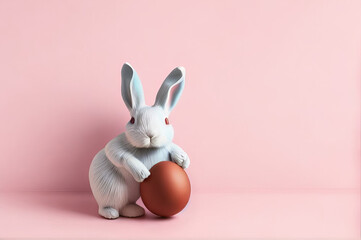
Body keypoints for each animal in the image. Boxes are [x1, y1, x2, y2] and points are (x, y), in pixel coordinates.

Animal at [88, 62, 190, 218]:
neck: (149, 149)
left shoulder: (167, 145)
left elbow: (173, 148)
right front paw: (142, 173)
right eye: (132, 120)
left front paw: (183, 160)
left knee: (125, 207)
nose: (150, 135)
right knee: (107, 207)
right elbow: (118, 154)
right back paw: (111, 213)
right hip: (112, 189)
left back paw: (135, 211)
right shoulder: (116, 145)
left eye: (166, 121)